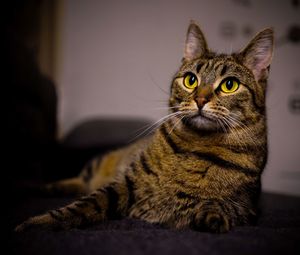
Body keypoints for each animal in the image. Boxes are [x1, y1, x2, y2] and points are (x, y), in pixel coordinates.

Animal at [15, 21, 274, 233]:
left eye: (230, 85)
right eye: (191, 80)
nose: (200, 100)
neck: (197, 144)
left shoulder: (250, 207)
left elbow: (226, 206)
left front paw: (212, 213)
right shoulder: (126, 183)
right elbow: (84, 205)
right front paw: (37, 224)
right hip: (101, 162)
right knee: (80, 181)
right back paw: (38, 188)